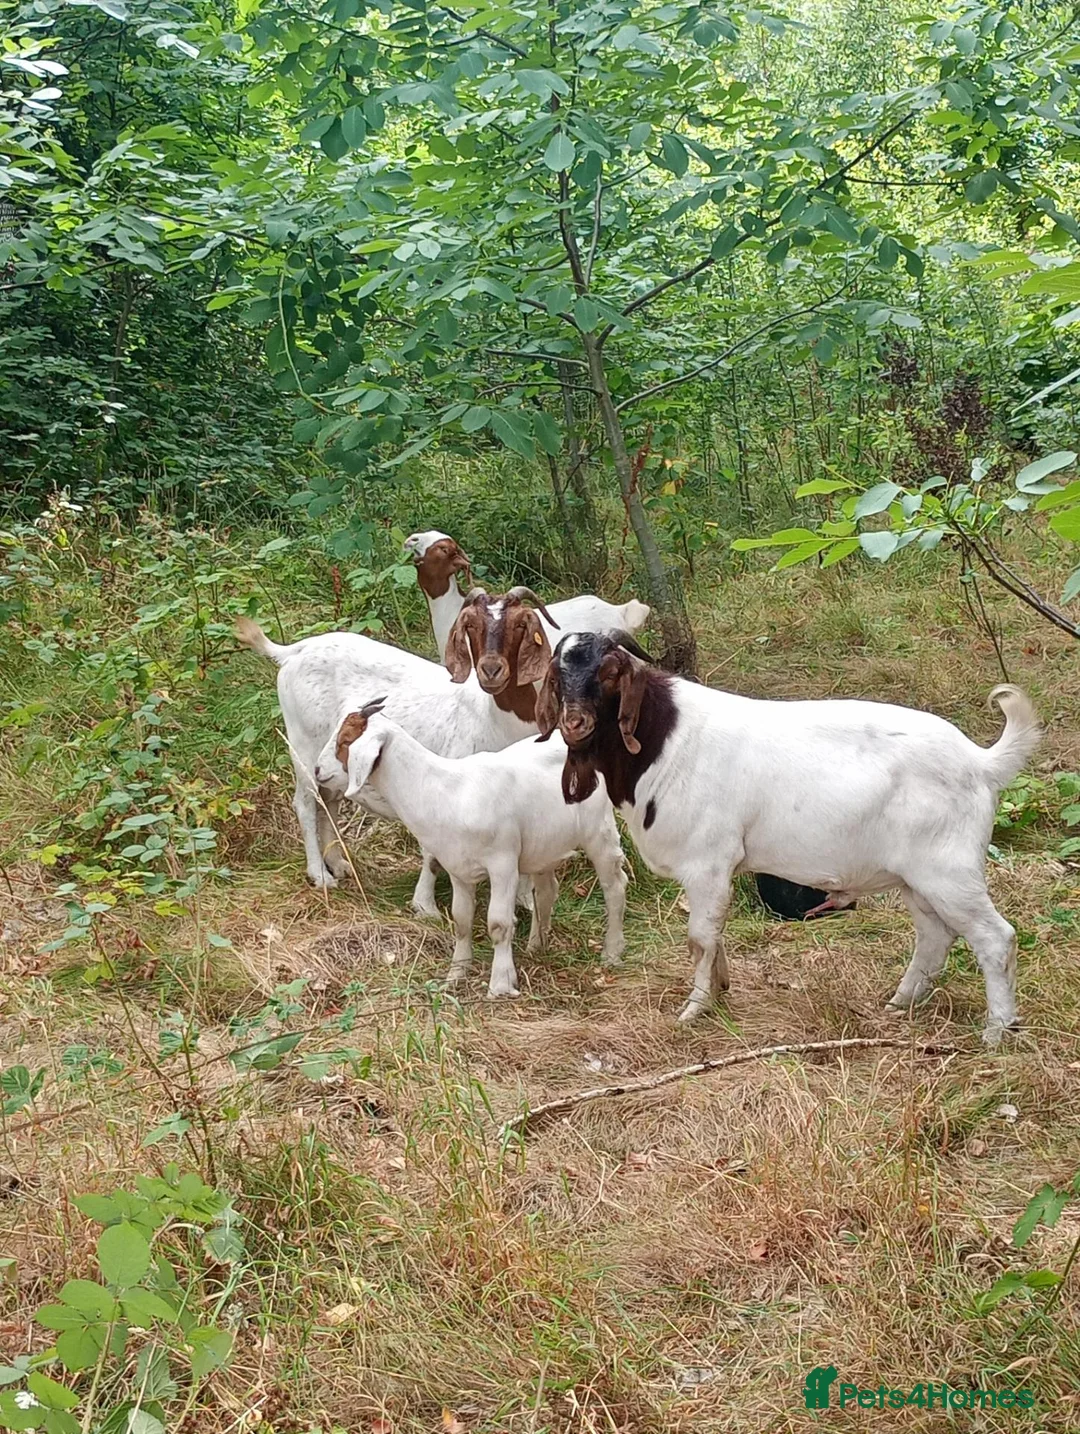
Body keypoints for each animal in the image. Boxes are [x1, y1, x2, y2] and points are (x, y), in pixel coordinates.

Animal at [236, 618, 537, 913]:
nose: (494, 671)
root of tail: (294, 651)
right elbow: (433, 854)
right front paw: (426, 907)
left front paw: (526, 901)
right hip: (304, 746)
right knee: (307, 804)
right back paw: (320, 875)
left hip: (330, 769)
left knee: (328, 803)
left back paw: (338, 863)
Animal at [334, 698, 627, 996]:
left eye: (344, 740)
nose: (322, 772)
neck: (447, 791)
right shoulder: (458, 868)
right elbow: (462, 920)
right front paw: (455, 975)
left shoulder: (503, 864)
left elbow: (498, 923)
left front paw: (500, 985)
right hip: (544, 844)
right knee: (546, 892)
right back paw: (536, 946)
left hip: (599, 830)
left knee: (614, 886)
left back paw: (611, 952)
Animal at [537, 631, 1042, 1043]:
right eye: (557, 675)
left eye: (610, 673)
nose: (574, 724)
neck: (665, 739)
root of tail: (981, 762)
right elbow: (715, 934)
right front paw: (720, 990)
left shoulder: (707, 861)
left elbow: (700, 937)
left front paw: (694, 1010)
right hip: (918, 878)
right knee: (935, 937)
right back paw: (899, 1003)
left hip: (949, 870)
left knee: (995, 938)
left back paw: (996, 1032)